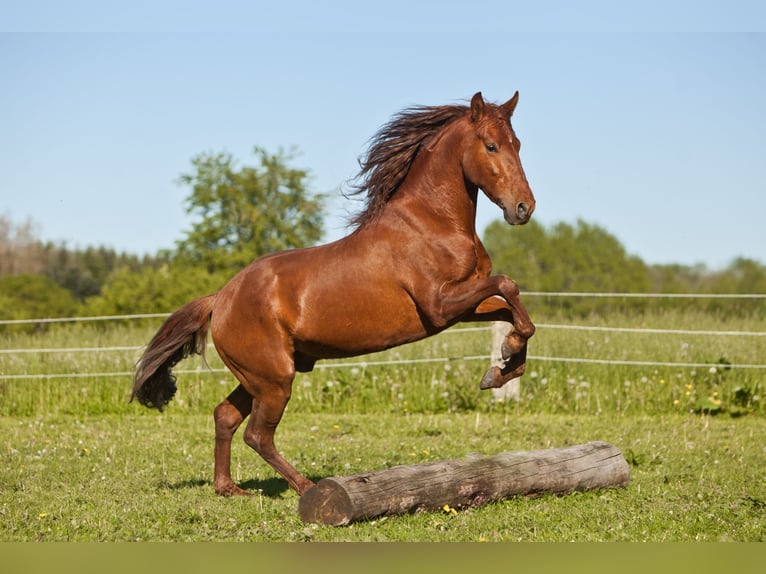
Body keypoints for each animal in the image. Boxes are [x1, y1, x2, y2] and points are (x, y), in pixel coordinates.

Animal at [131, 91, 536, 496]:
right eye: (491, 145)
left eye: (517, 144)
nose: (524, 208)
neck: (431, 224)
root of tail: (220, 299)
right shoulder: (439, 305)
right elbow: (507, 284)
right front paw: (503, 360)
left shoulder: (463, 307)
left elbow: (512, 312)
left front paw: (500, 369)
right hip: (274, 379)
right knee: (257, 435)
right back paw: (306, 487)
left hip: (258, 378)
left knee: (225, 416)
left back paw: (229, 488)